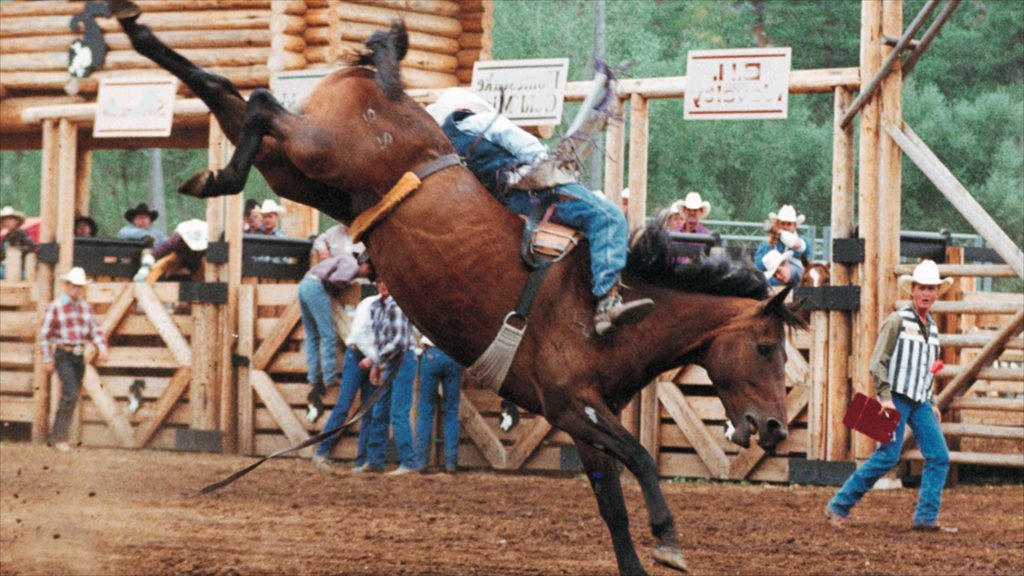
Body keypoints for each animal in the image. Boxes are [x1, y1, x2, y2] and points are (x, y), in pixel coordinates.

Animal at [108, 5, 802, 573]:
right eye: (766, 347)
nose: (773, 426)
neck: (610, 318)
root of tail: (385, 88)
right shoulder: (573, 405)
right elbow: (642, 457)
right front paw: (670, 539)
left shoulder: (580, 424)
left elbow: (613, 506)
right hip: (318, 149)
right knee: (257, 101)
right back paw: (217, 170)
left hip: (300, 171)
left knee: (230, 93)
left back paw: (144, 45)